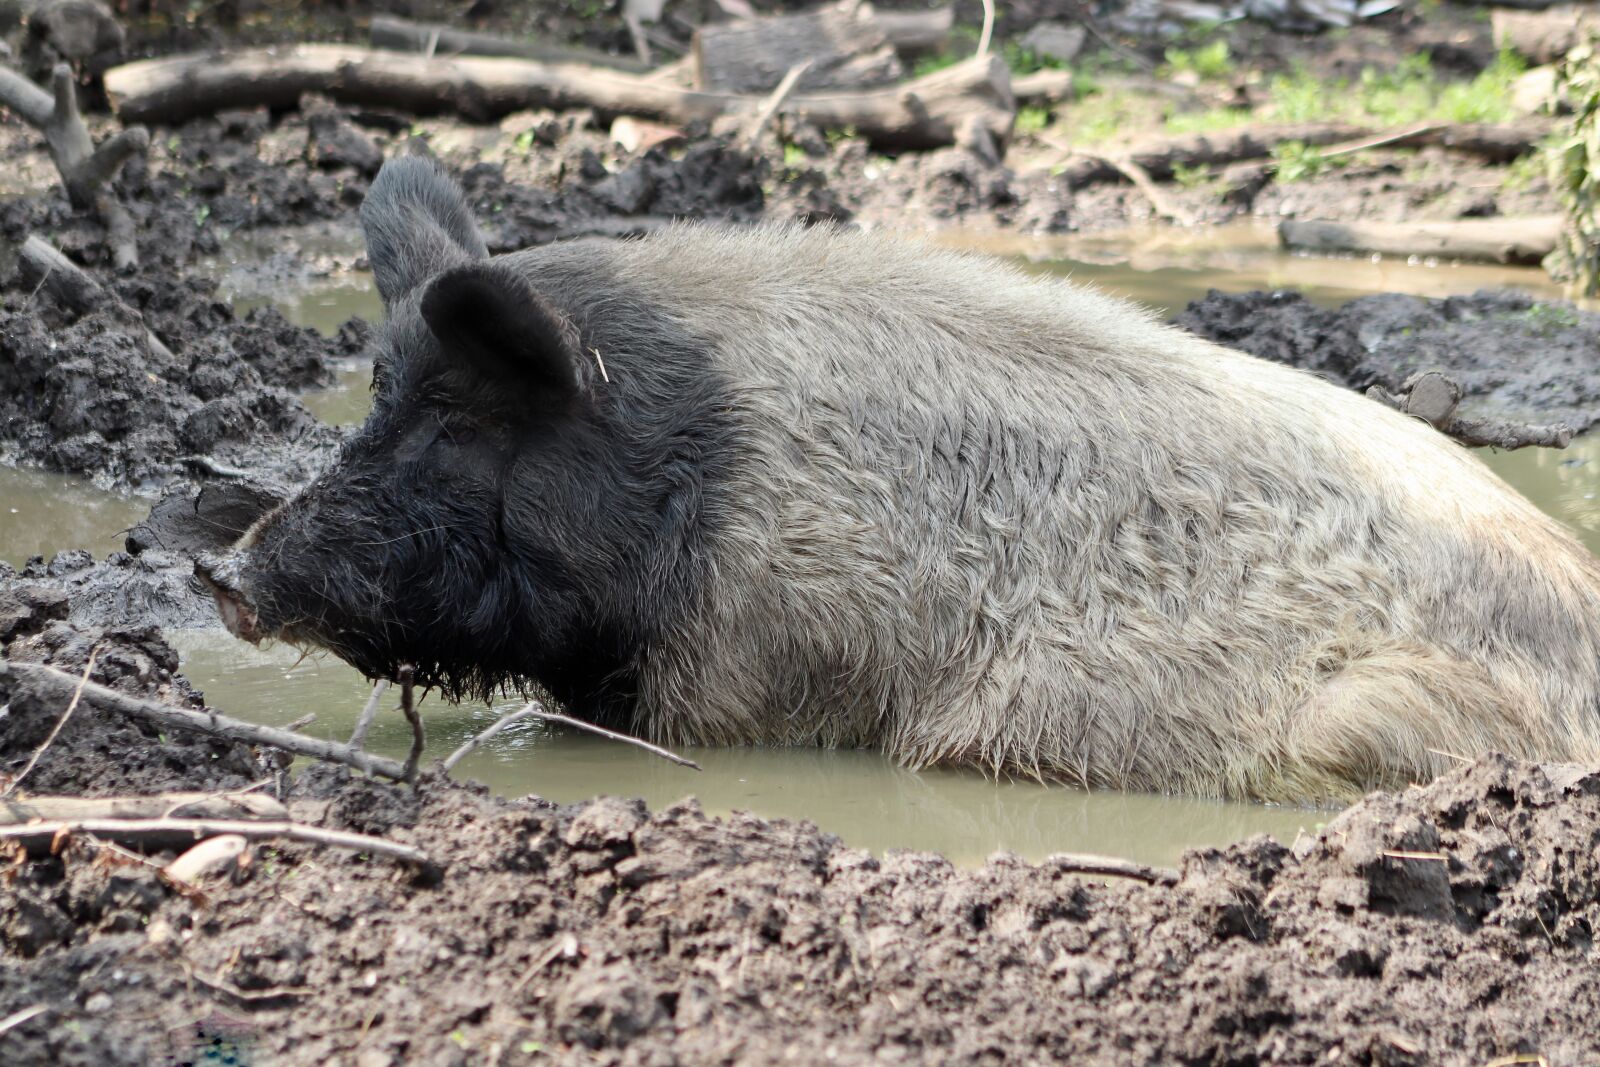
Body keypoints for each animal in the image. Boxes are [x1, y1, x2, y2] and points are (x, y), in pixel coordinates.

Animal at [198, 156, 1600, 802]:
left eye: (451, 423)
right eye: (377, 400)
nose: (229, 571)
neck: (688, 457)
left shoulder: (749, 668)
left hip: (1375, 721)